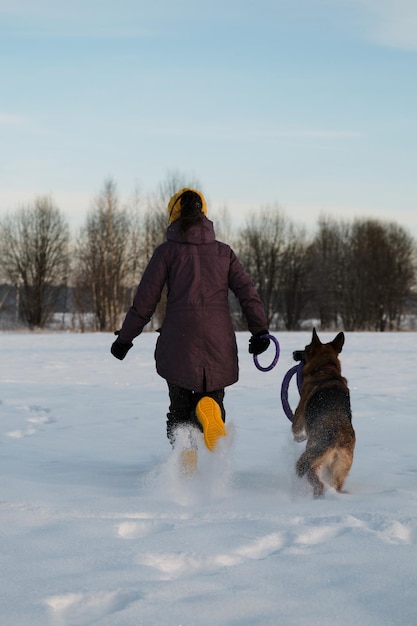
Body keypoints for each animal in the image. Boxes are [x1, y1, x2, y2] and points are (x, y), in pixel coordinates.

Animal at [290, 330, 356, 494]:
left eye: (306, 348)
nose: (294, 352)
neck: (326, 369)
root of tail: (337, 438)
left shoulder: (299, 412)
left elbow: (295, 428)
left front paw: (298, 438)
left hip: (313, 460)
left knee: (317, 482)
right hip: (338, 471)